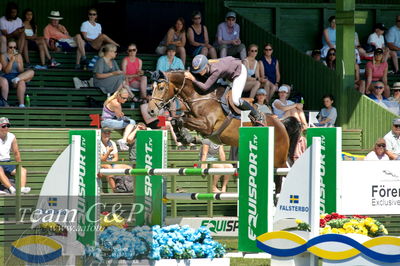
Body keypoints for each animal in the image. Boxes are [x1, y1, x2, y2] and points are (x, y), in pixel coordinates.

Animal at [148, 70, 300, 171]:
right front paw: (186, 138)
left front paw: (186, 137)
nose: (151, 111)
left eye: (161, 88)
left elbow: (180, 119)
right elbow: (176, 121)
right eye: (152, 88)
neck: (200, 97)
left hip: (278, 159)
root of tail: (281, 124)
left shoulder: (207, 126)